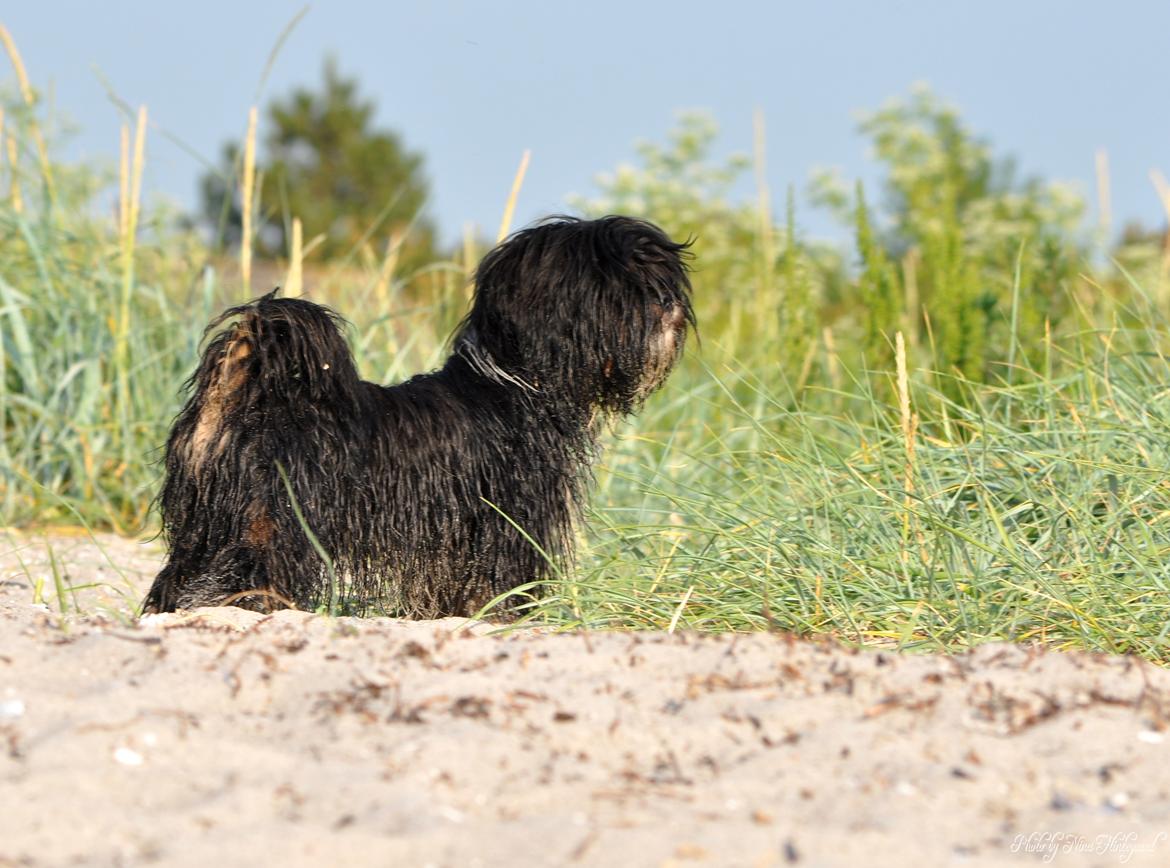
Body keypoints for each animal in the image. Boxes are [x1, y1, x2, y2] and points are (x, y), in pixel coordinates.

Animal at [143, 221, 692, 622]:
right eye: (622, 292)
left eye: (660, 281)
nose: (670, 305)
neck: (511, 385)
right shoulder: (509, 524)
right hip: (273, 523)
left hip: (200, 526)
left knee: (177, 576)